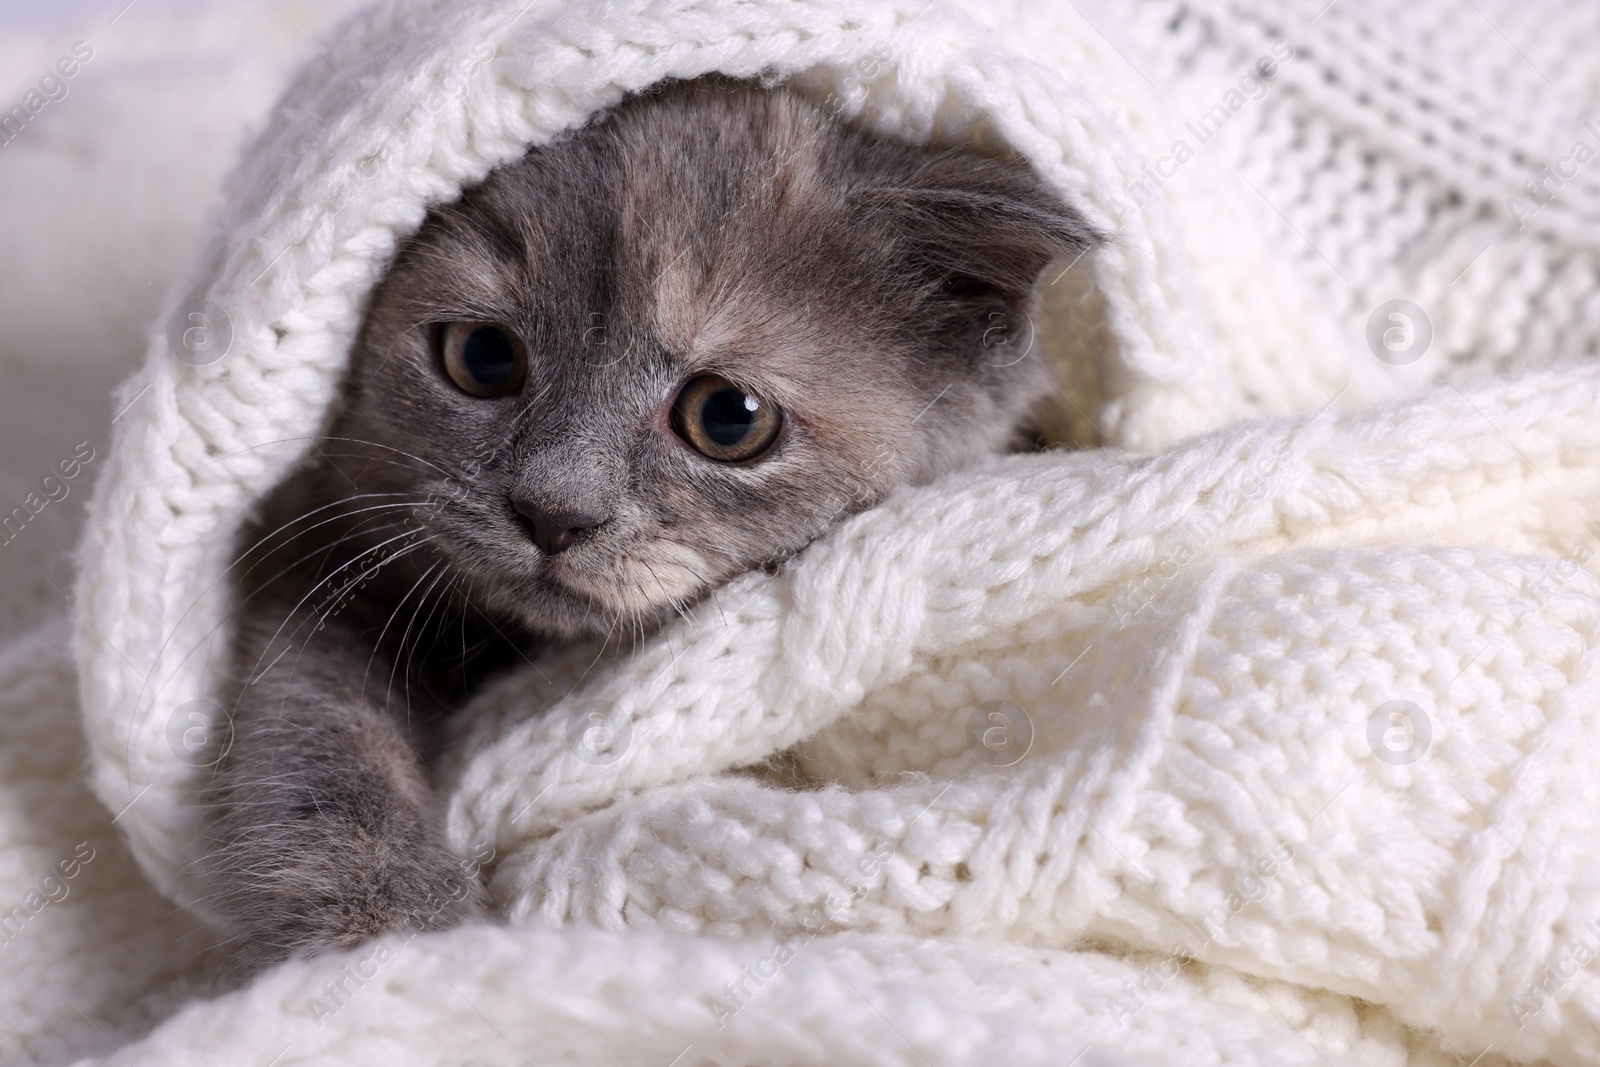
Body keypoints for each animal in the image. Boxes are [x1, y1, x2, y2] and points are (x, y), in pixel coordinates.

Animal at [203, 77, 1100, 966]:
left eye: (728, 417)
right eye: (482, 356)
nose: (554, 511)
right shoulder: (319, 544)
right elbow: (319, 713)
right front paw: (380, 910)